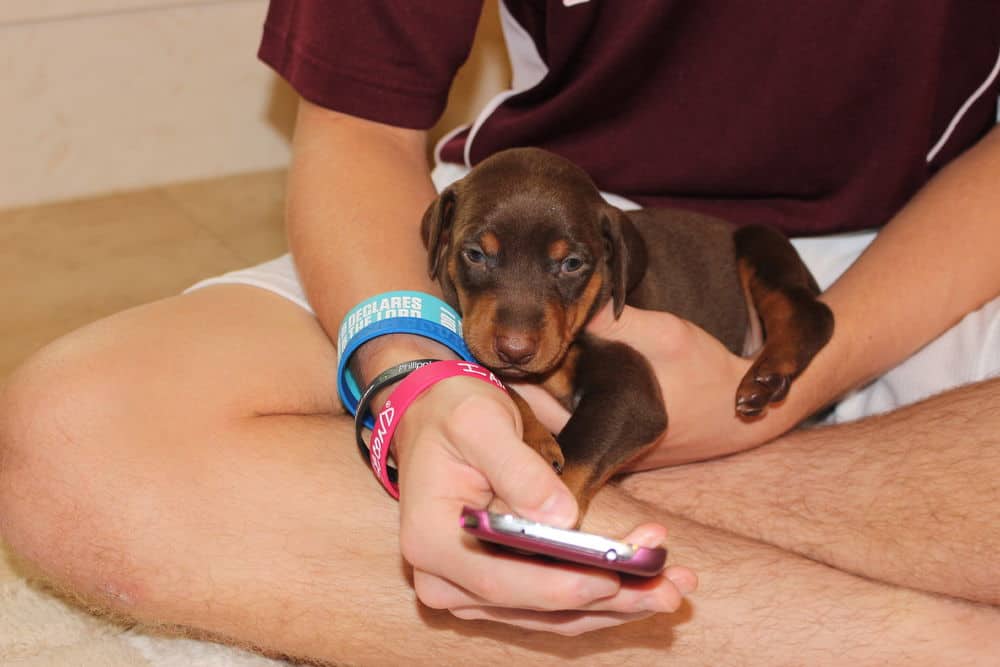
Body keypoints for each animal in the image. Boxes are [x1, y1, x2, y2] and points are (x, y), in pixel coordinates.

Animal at [418, 149, 832, 520]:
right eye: (475, 254)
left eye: (572, 264)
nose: (515, 351)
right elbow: (495, 379)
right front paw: (535, 437)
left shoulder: (632, 390)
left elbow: (580, 450)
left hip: (757, 240)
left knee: (814, 312)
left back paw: (768, 375)